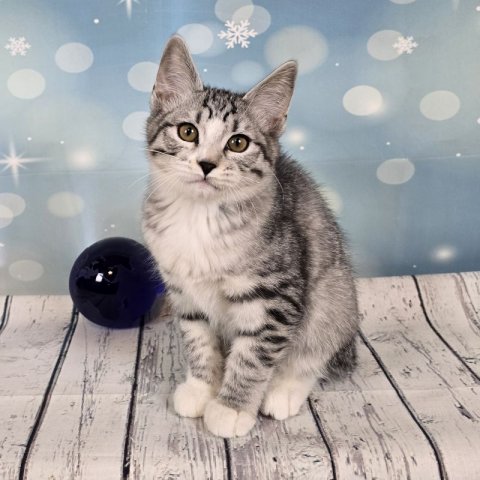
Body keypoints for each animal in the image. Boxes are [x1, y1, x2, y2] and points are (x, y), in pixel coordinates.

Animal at [142, 35, 359, 438]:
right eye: (187, 132)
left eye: (238, 143)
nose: (207, 164)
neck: (200, 217)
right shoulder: (183, 290)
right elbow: (198, 341)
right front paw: (201, 388)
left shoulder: (274, 296)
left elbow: (253, 355)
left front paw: (232, 407)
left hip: (334, 296)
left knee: (316, 351)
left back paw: (285, 389)